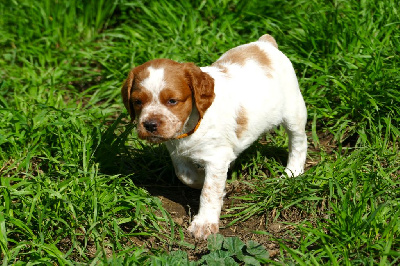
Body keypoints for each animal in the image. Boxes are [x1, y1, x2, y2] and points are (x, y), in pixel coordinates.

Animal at [120, 34, 308, 240]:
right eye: (137, 102)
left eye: (172, 101)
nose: (150, 125)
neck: (191, 125)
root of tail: (265, 43)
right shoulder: (177, 153)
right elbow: (185, 176)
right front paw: (210, 181)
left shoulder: (216, 158)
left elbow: (209, 191)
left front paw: (204, 223)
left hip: (294, 110)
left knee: (299, 142)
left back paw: (292, 172)